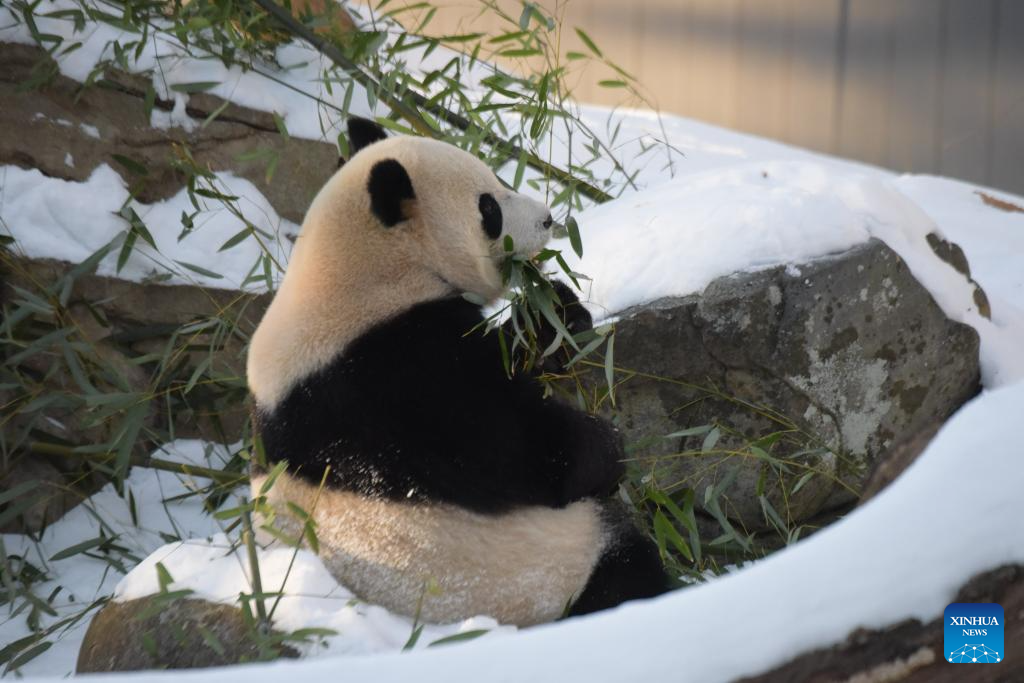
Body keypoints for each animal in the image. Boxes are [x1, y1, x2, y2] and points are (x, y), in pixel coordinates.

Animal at [244, 118, 667, 630]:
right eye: (489, 207)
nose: (548, 218)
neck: (352, 275)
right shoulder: (392, 376)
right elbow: (517, 445)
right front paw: (608, 450)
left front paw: (558, 312)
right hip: (547, 567)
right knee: (626, 570)